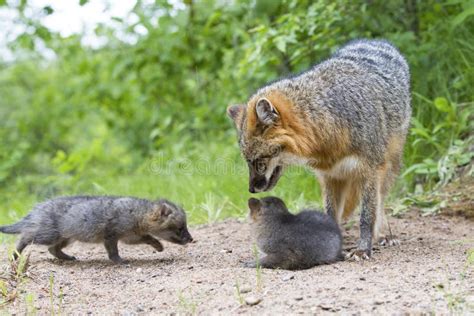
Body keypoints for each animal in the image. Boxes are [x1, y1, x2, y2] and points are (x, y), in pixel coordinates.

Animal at [0, 196, 193, 262]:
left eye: (185, 227)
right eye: (180, 228)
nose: (191, 239)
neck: (136, 213)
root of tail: (37, 209)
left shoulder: (130, 237)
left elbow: (149, 237)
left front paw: (158, 245)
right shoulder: (112, 236)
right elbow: (113, 252)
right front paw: (119, 261)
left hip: (65, 238)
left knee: (53, 250)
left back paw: (68, 258)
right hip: (46, 234)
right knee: (25, 235)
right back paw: (15, 254)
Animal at [227, 39, 412, 260]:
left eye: (259, 162)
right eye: (248, 161)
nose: (251, 189)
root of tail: (374, 41)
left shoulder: (369, 171)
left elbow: (367, 216)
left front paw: (363, 248)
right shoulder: (330, 176)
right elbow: (330, 214)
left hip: (387, 168)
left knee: (380, 203)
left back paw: (383, 234)